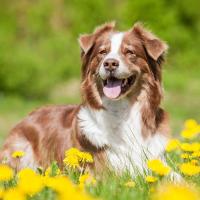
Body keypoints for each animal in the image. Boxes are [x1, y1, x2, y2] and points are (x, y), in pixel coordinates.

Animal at [0, 22, 170, 175]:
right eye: (102, 52)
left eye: (130, 52)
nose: (110, 63)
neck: (122, 111)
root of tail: (27, 116)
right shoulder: (105, 171)